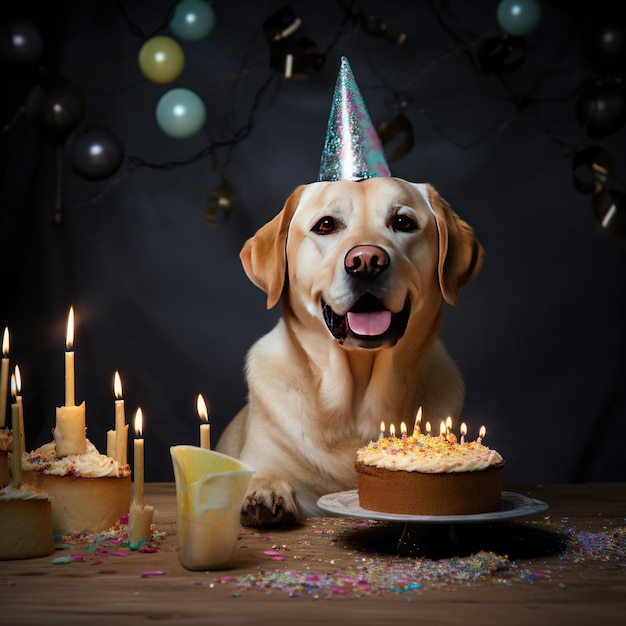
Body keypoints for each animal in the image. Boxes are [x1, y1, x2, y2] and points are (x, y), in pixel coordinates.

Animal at [216, 174, 482, 520]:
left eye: (403, 222)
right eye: (326, 225)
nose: (366, 261)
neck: (355, 404)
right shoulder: (264, 455)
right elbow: (264, 473)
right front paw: (266, 490)